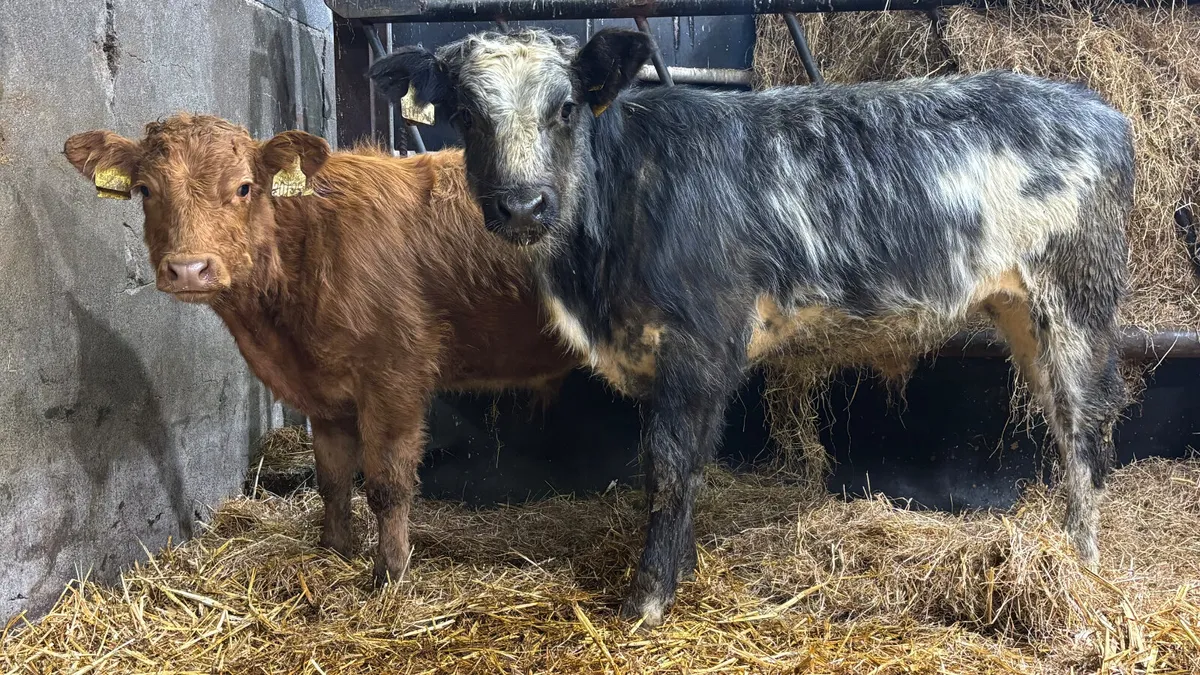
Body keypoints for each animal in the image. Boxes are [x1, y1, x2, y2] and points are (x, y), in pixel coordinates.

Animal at [63, 114, 578, 586]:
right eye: (146, 190)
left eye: (245, 188)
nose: (189, 268)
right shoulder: (324, 391)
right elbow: (332, 477)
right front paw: (334, 548)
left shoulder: (396, 377)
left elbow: (387, 485)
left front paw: (389, 574)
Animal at [370, 27, 1134, 626]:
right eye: (466, 114)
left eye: (565, 108)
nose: (522, 205)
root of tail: (1097, 108)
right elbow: (671, 469)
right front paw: (680, 565)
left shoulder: (701, 341)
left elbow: (671, 463)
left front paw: (647, 598)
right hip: (1023, 311)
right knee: (1065, 421)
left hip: (1076, 303)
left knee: (1085, 430)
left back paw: (1084, 563)